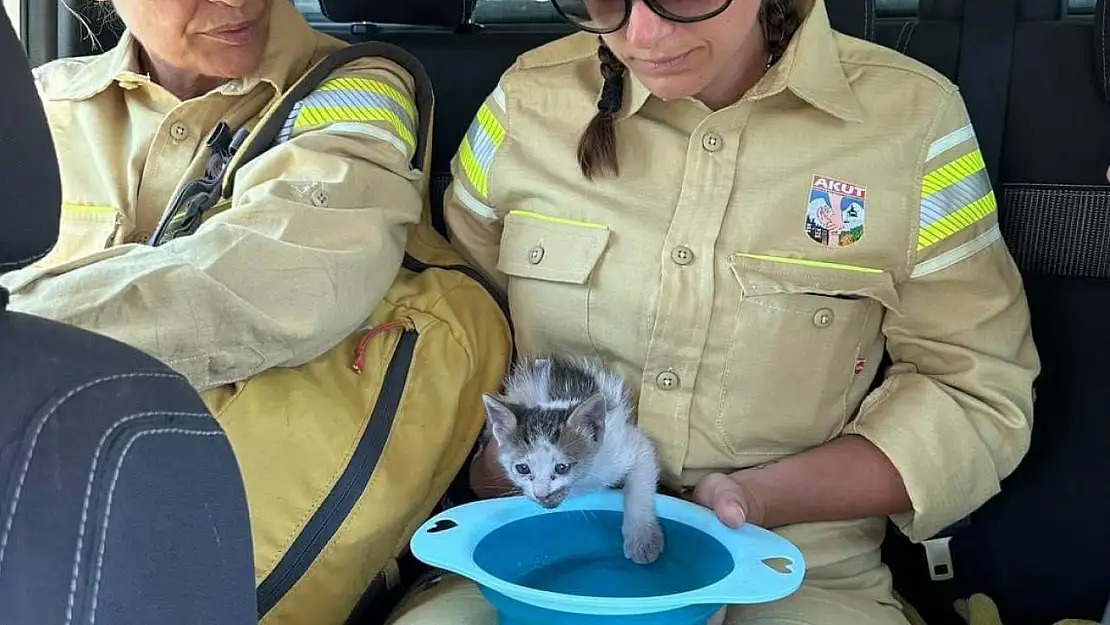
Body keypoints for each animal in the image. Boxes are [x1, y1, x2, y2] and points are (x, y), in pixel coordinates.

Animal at [481, 355, 661, 563]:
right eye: (523, 469)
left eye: (562, 468)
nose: (542, 495)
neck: (582, 482)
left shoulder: (626, 446)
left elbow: (639, 485)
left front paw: (642, 540)